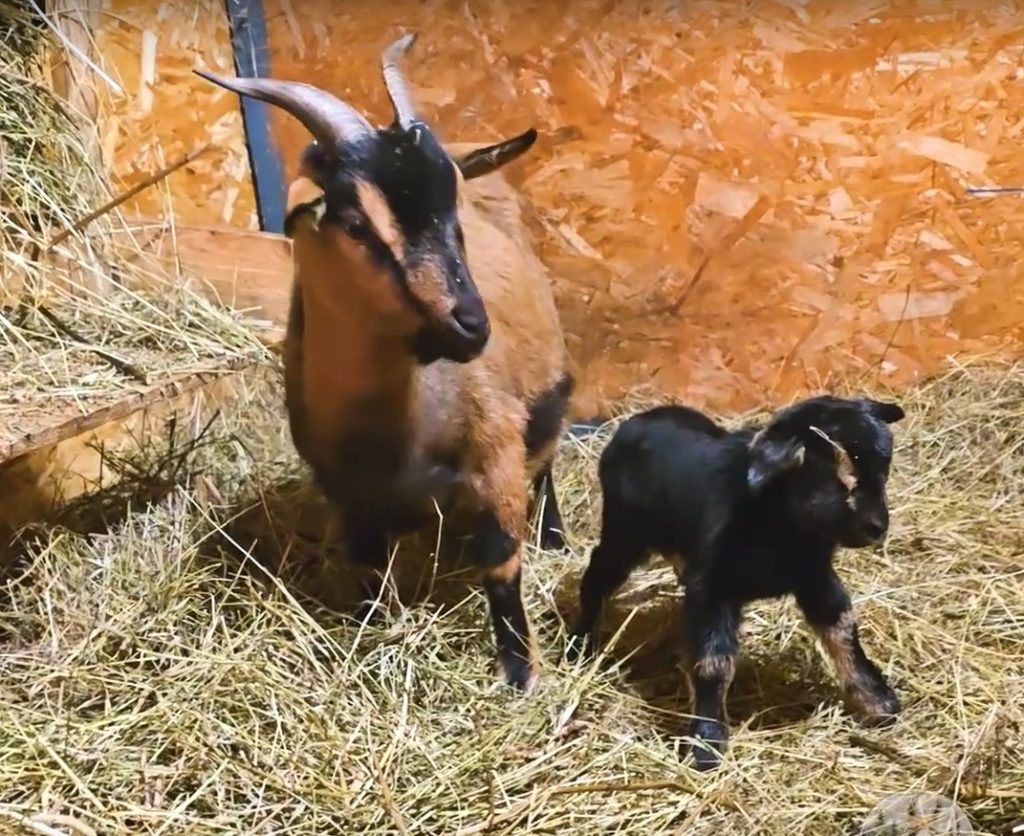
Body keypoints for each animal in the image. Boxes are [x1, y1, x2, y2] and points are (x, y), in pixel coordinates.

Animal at [193, 33, 573, 692]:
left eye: (453, 211)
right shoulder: (348, 495)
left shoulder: (495, 455)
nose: (471, 324)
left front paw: (521, 675)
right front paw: (373, 640)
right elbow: (370, 576)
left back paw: (553, 535)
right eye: (353, 222)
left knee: (547, 459)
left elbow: (502, 564)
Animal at [566, 395, 905, 769]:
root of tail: (631, 423)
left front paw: (879, 701)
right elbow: (713, 662)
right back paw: (579, 643)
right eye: (838, 472)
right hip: (625, 531)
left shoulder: (814, 577)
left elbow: (843, 630)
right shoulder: (712, 589)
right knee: (598, 575)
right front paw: (707, 743)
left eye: (883, 471)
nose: (878, 527)